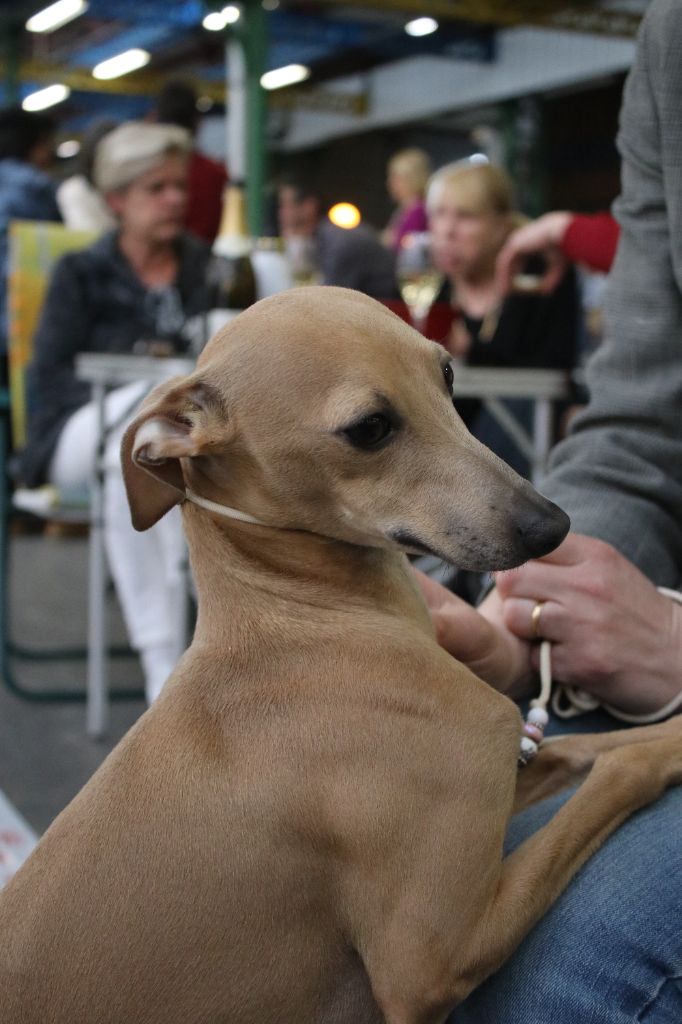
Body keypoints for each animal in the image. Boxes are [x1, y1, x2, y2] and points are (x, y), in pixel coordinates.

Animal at [1, 284, 679, 1019]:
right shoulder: (431, 960)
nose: (552, 528)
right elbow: (619, 769)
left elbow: (593, 745)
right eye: (370, 428)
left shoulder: (504, 771)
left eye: (447, 374)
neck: (311, 620)